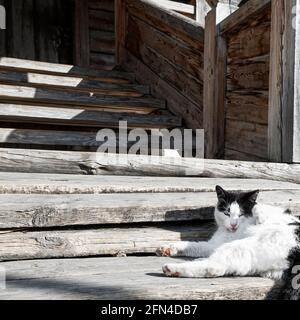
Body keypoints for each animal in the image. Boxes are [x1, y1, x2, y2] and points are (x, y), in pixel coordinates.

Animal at [156, 186, 298, 298]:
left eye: (241, 214)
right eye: (226, 213)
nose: (234, 224)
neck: (232, 233)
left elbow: (261, 208)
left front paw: (258, 214)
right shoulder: (213, 244)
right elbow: (193, 245)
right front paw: (167, 248)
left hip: (241, 247)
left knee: (215, 267)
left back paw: (172, 269)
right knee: (216, 267)